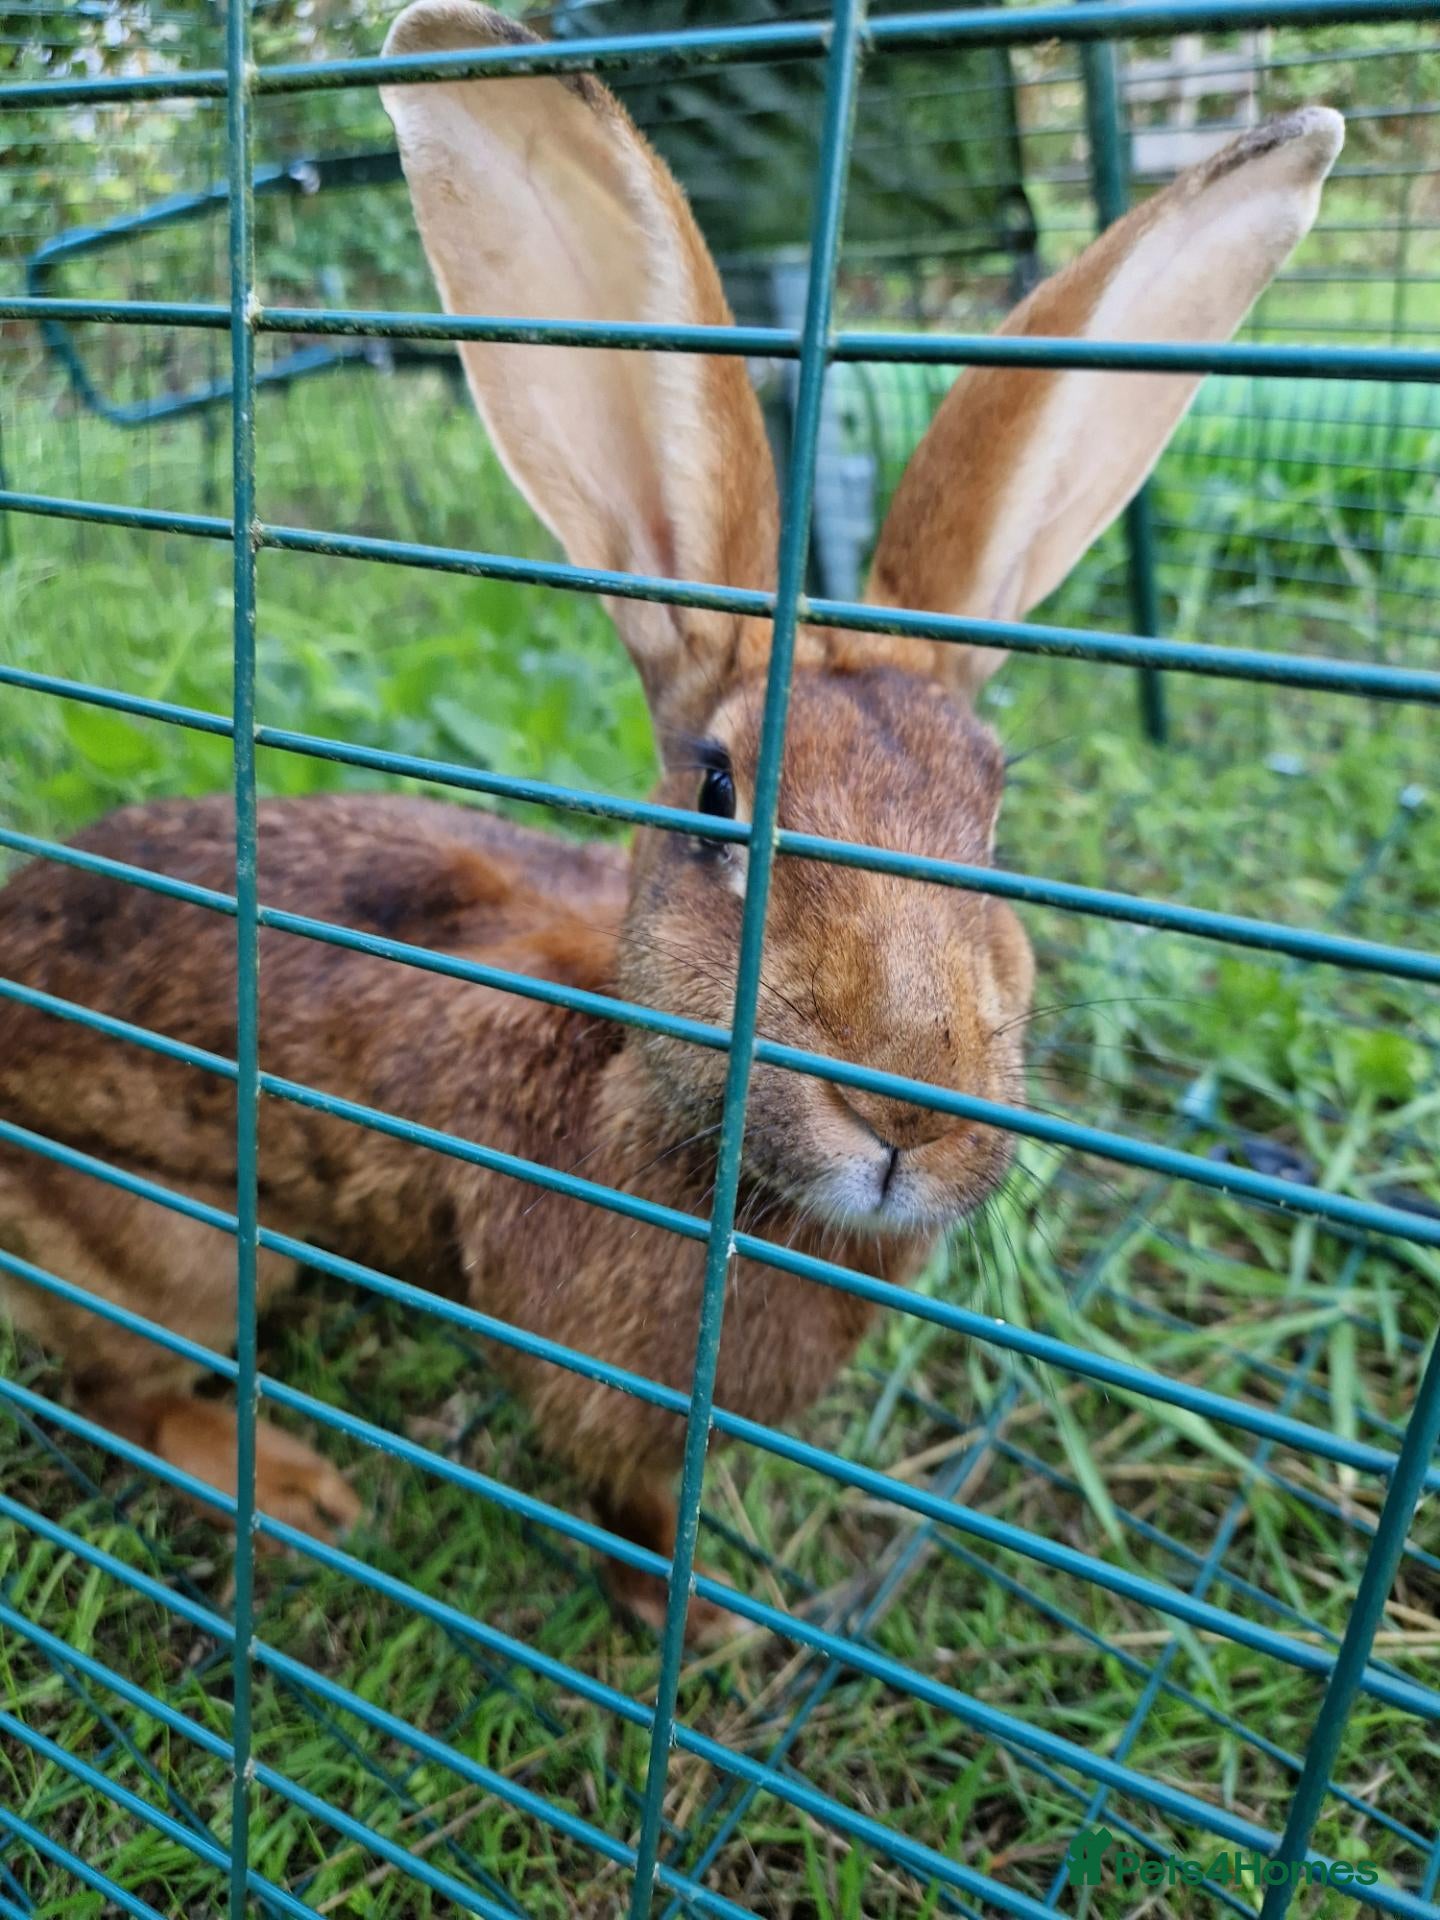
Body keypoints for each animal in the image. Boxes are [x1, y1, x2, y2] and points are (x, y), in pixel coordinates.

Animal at [0, 0, 1342, 1640]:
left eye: (997, 814)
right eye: (717, 797)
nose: (906, 1105)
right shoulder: (600, 1400)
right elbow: (633, 1507)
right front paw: (697, 1622)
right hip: (165, 1246)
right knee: (123, 1384)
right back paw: (295, 1490)